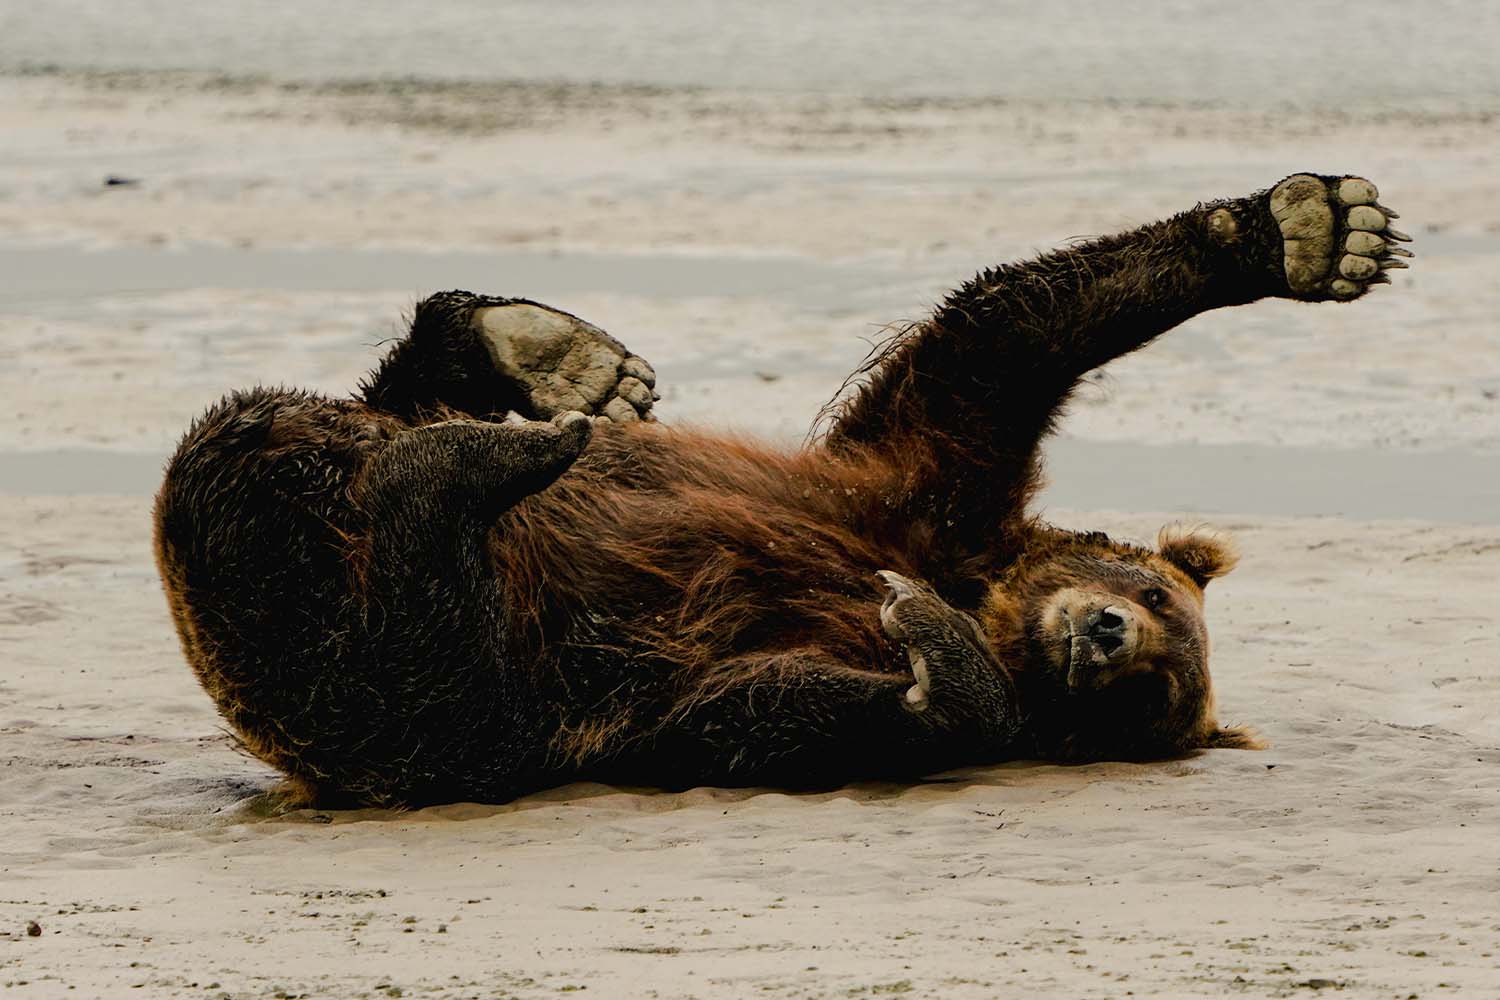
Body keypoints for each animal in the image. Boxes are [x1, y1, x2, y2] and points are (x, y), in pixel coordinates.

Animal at [152, 173, 1409, 807]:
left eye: (1152, 691)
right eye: (1149, 591)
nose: (1104, 633)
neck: (989, 591)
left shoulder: (674, 679)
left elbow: (770, 710)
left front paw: (932, 645)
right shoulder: (913, 486)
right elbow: (997, 337)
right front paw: (1309, 229)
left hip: (423, 692)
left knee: (373, 594)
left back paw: (478, 461)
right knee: (325, 418)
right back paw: (553, 366)